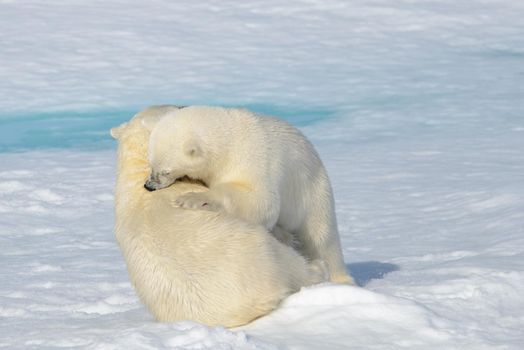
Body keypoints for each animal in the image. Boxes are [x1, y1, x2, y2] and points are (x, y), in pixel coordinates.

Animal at [145, 104, 354, 284]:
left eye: (166, 171)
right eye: (151, 164)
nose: (149, 186)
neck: (230, 140)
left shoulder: (254, 161)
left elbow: (262, 202)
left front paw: (192, 199)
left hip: (312, 191)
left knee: (322, 238)